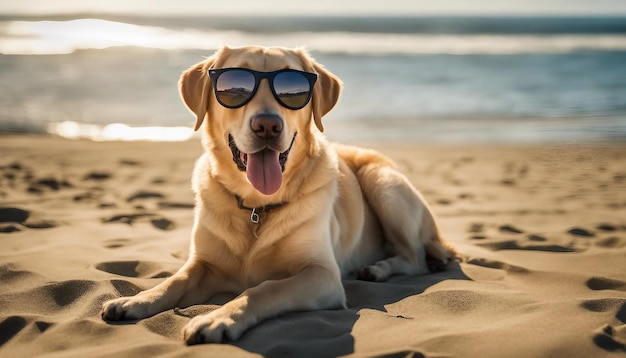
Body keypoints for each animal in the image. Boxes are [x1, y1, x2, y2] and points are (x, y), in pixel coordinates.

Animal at [101, 44, 454, 344]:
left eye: (292, 90)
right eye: (235, 86)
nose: (267, 126)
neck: (257, 207)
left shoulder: (322, 275)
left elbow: (264, 289)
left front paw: (217, 319)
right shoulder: (204, 263)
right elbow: (174, 280)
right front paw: (135, 300)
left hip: (383, 183)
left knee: (416, 259)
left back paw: (379, 269)